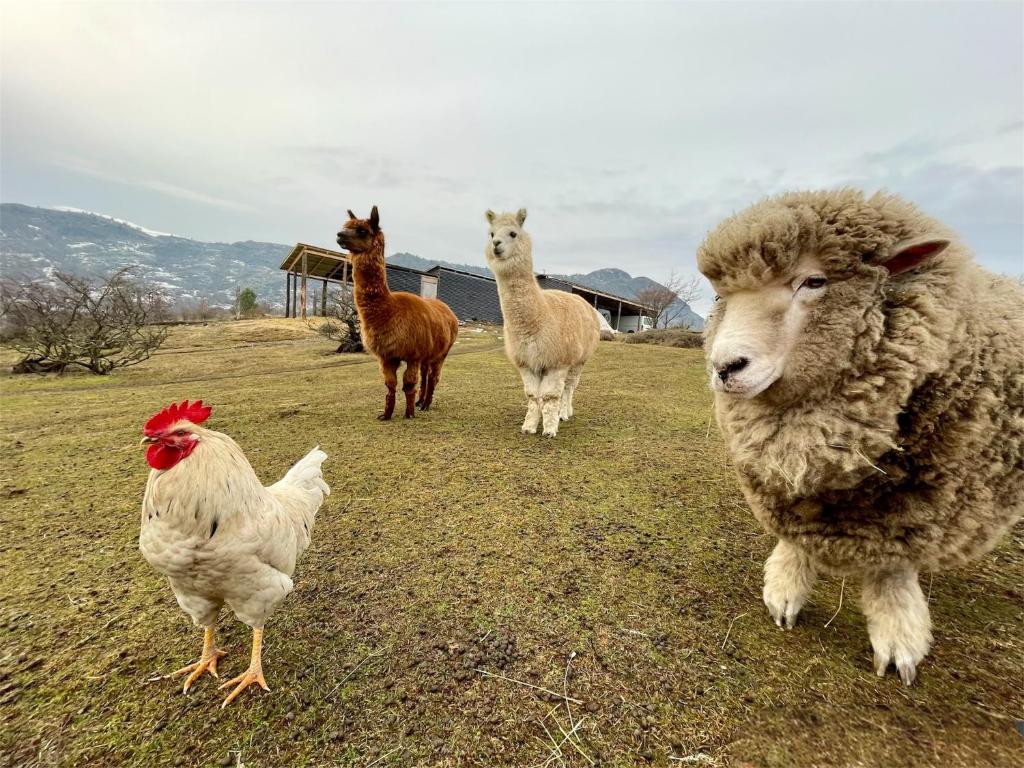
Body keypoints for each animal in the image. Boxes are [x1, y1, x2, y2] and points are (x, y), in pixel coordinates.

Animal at [484, 209, 600, 437]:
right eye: (491, 234)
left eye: (513, 233)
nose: (496, 245)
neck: (539, 318)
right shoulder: (527, 362)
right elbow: (532, 395)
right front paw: (529, 426)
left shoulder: (557, 361)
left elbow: (549, 396)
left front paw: (549, 429)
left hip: (580, 358)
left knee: (569, 387)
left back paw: (565, 413)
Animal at [697, 188, 1023, 684]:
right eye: (721, 295)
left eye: (814, 281)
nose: (724, 367)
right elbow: (796, 537)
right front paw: (786, 590)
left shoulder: (919, 512)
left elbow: (894, 571)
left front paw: (898, 637)